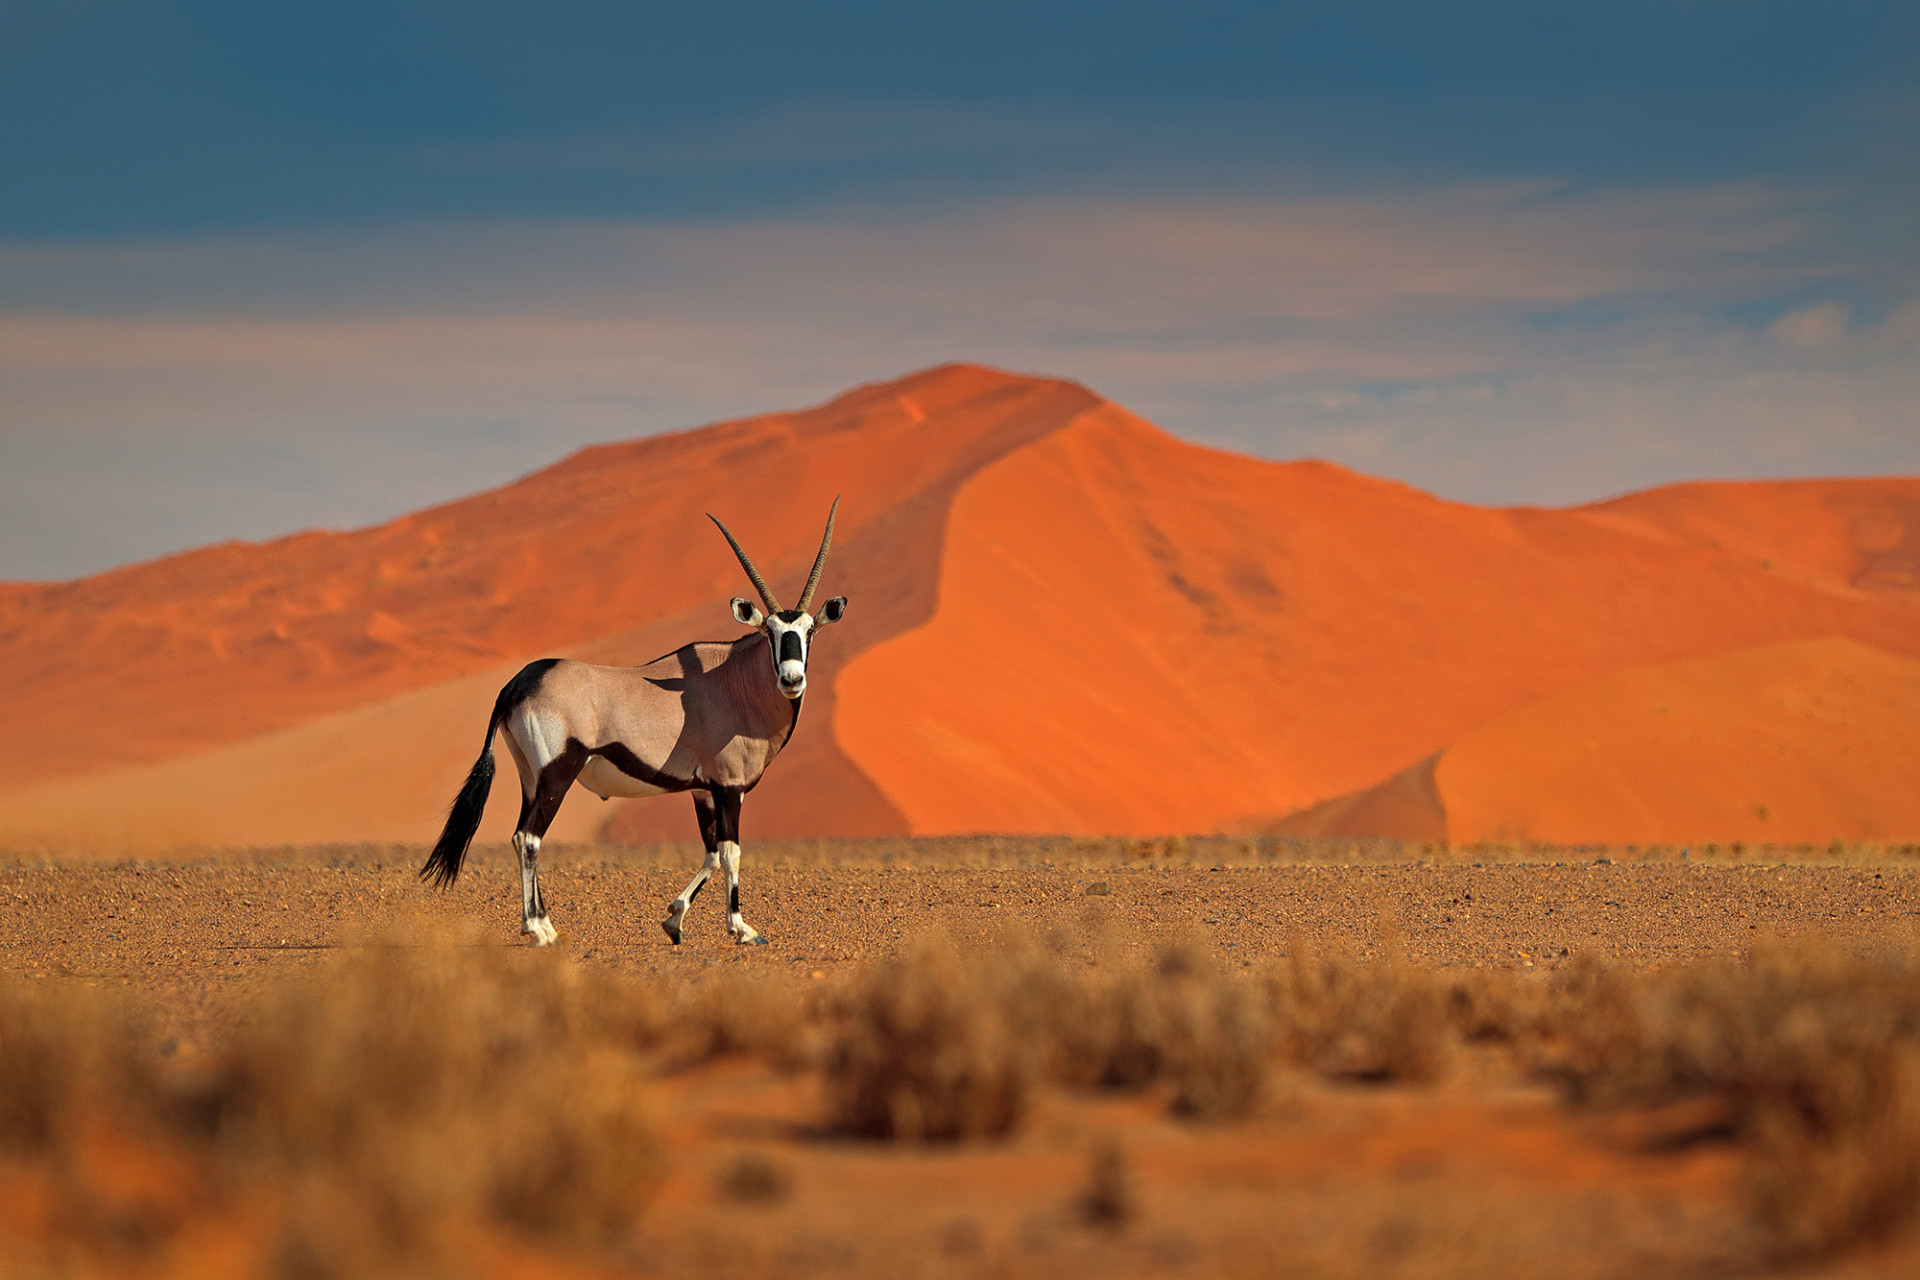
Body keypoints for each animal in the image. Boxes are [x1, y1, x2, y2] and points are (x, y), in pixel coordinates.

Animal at [419, 500, 847, 947]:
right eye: (770, 632)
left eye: (809, 631)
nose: (791, 679)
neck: (733, 681)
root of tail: (517, 683)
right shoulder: (729, 787)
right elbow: (731, 853)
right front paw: (741, 928)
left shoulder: (703, 791)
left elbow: (711, 853)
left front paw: (674, 920)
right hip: (557, 774)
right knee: (529, 838)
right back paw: (538, 929)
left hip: (530, 777)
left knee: (521, 834)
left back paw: (543, 922)